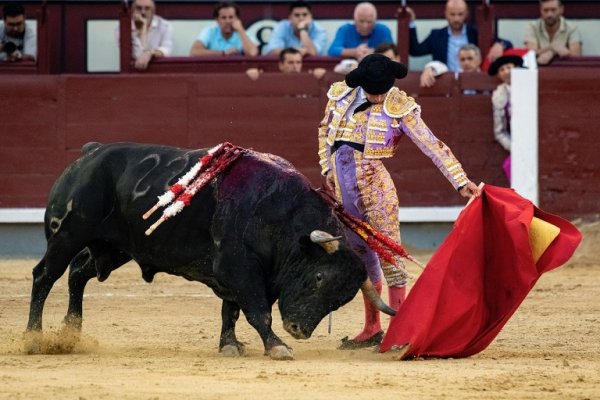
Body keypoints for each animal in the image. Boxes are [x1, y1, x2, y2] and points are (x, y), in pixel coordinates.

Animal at [25, 143, 394, 360]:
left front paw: (230, 345)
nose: (298, 330)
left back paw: (72, 330)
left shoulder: (240, 273)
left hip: (115, 248)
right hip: (67, 234)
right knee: (45, 275)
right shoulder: (238, 267)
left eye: (340, 301)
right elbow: (257, 310)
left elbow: (230, 311)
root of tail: (90, 153)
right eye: (318, 277)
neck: (277, 212)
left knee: (77, 273)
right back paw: (33, 337)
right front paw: (277, 346)